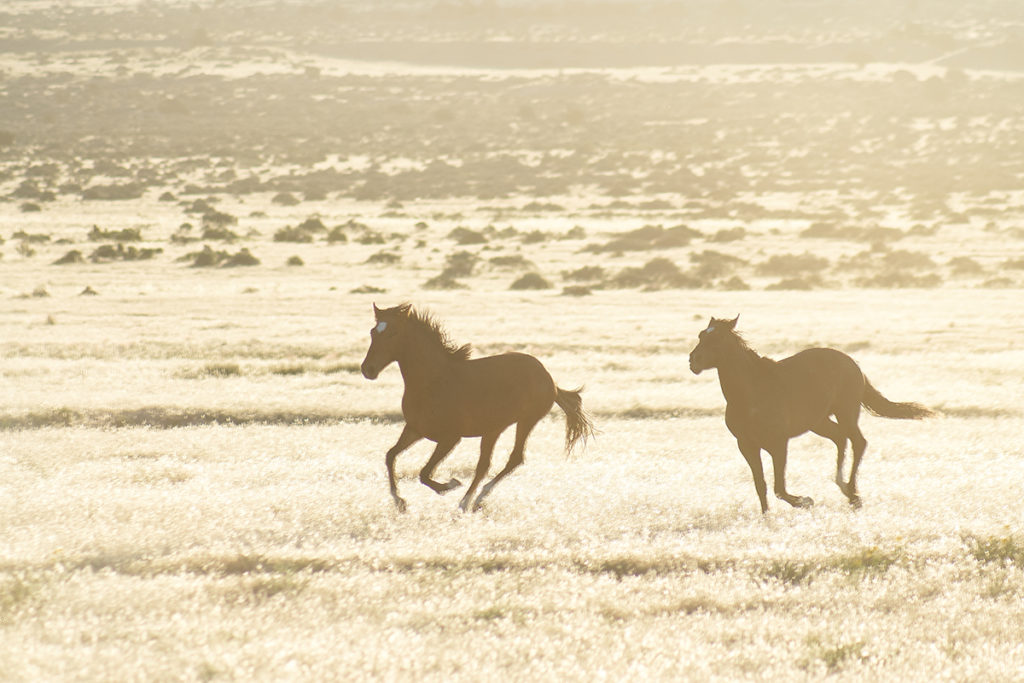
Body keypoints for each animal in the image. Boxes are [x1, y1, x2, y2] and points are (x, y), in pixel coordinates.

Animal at [362, 305, 598, 511]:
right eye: (373, 332)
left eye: (393, 332)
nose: (368, 369)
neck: (434, 381)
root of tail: (550, 381)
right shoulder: (414, 429)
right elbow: (390, 456)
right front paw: (399, 501)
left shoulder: (450, 438)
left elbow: (424, 473)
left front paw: (450, 485)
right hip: (493, 430)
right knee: (485, 464)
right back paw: (472, 500)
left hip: (525, 421)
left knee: (512, 459)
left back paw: (470, 501)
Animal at [688, 317, 937, 516]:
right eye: (701, 335)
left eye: (718, 338)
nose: (693, 361)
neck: (751, 393)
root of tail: (852, 363)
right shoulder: (746, 445)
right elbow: (761, 484)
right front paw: (766, 516)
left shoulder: (779, 444)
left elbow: (779, 487)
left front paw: (805, 501)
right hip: (819, 421)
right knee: (840, 438)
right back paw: (845, 487)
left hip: (846, 412)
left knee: (858, 442)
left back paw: (853, 494)